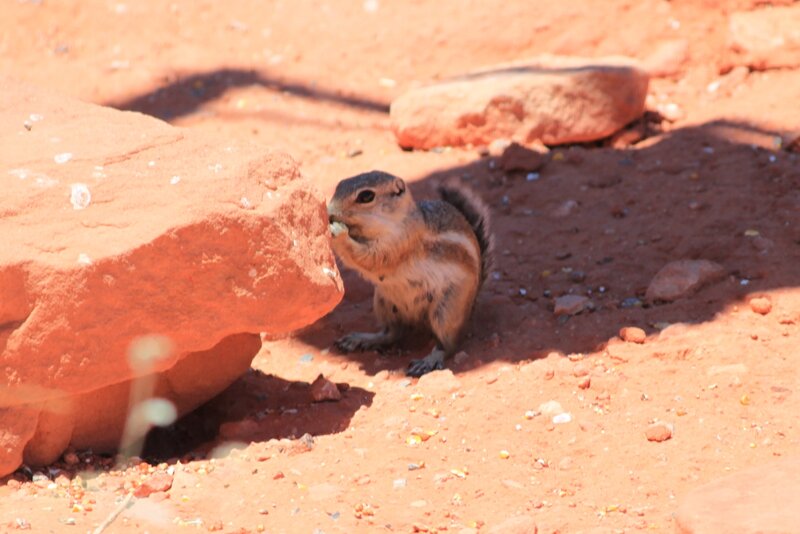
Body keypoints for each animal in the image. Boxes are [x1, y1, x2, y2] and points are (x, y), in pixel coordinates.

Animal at [327, 170, 493, 377]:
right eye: (339, 185)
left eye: (366, 196)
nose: (330, 211)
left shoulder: (399, 243)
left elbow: (371, 259)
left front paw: (338, 233)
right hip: (384, 302)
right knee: (392, 333)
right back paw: (361, 339)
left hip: (447, 310)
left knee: (448, 345)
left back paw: (429, 360)